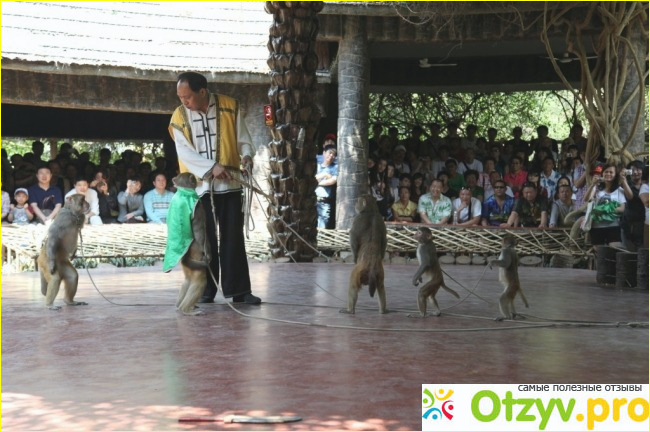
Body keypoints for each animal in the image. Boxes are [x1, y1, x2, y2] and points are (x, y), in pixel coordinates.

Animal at [162, 170, 210, 316]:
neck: (184, 191)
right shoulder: (198, 206)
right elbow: (199, 234)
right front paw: (209, 254)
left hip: (188, 262)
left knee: (188, 280)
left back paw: (180, 307)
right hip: (196, 257)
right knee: (200, 280)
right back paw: (186, 309)